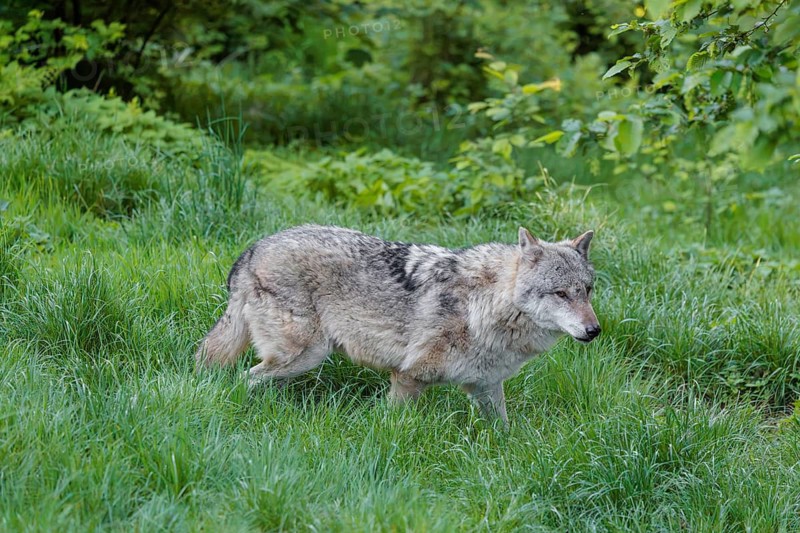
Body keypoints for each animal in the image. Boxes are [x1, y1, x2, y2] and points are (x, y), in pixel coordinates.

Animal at [195, 225, 600, 424]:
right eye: (560, 293)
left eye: (587, 290)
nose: (594, 331)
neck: (484, 306)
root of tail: (252, 250)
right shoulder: (408, 376)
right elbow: (395, 426)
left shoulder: (485, 386)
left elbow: (506, 431)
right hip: (306, 355)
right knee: (245, 378)